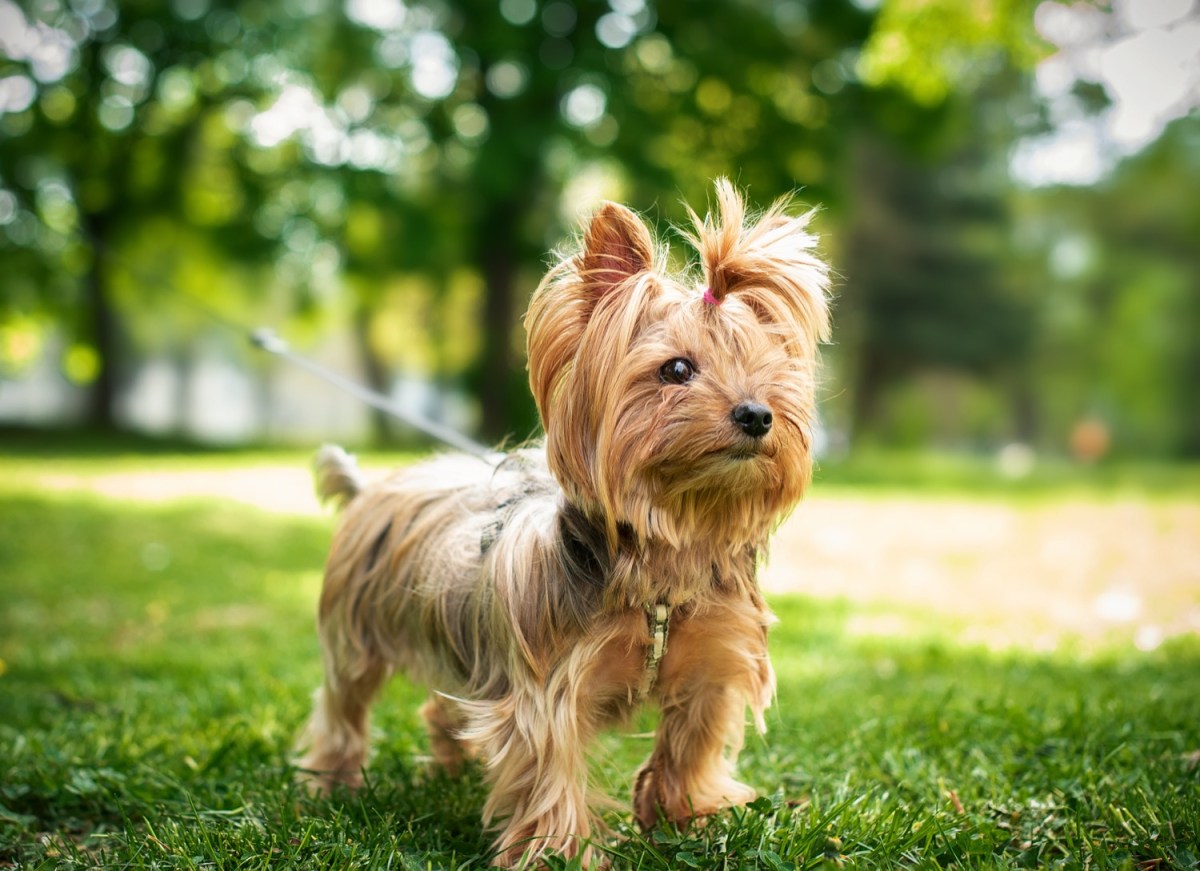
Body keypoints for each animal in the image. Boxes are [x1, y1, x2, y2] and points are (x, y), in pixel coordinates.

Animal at [295, 181, 830, 868]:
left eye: (772, 369)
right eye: (676, 369)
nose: (758, 414)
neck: (666, 554)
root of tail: (371, 488)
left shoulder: (713, 666)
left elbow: (692, 743)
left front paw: (689, 820)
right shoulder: (547, 686)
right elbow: (549, 765)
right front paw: (560, 851)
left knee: (447, 707)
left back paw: (448, 766)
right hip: (356, 635)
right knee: (343, 704)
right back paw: (333, 783)